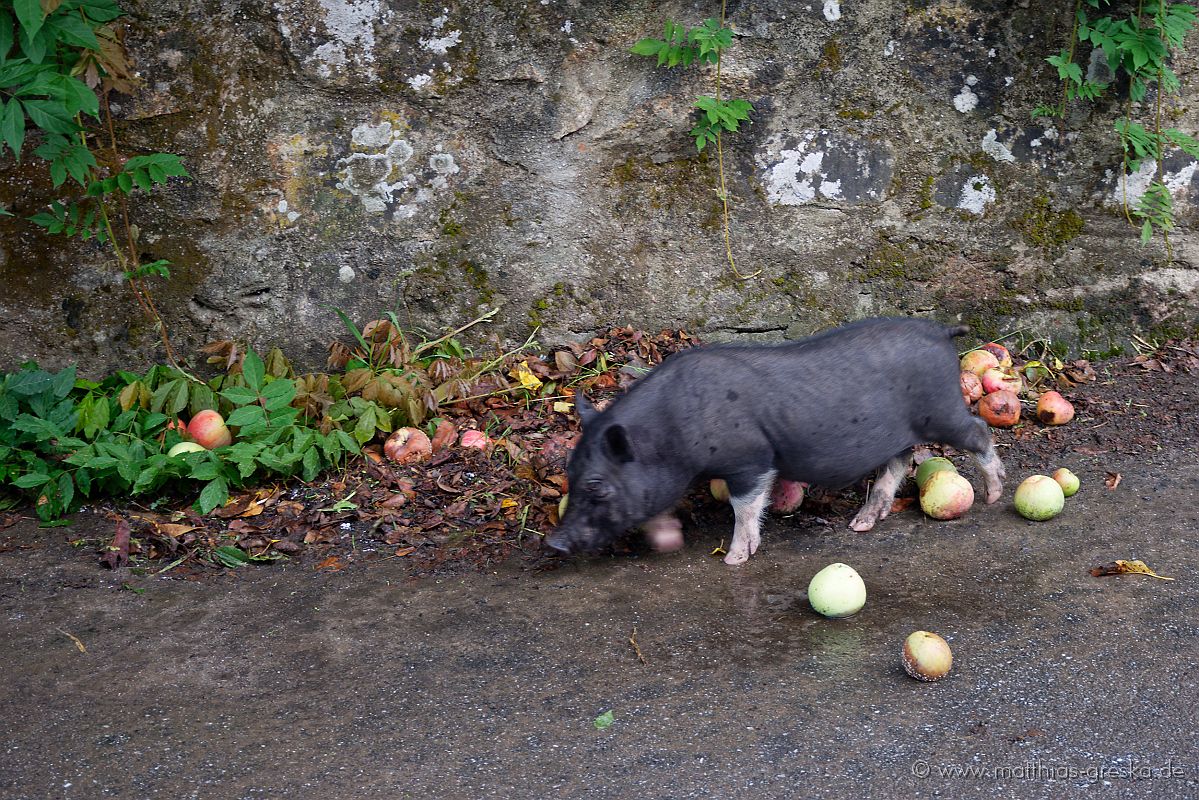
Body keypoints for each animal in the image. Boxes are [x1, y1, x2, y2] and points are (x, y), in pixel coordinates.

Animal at [549, 316, 1007, 566]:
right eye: (571, 472)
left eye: (596, 486)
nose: (554, 541)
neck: (669, 434)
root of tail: (941, 331)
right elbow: (660, 504)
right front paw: (668, 542)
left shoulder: (749, 459)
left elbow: (746, 508)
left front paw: (733, 559)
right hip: (902, 433)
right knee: (897, 463)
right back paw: (860, 523)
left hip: (942, 410)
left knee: (978, 433)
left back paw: (993, 495)